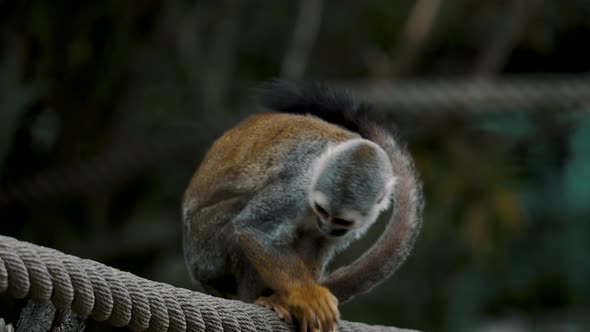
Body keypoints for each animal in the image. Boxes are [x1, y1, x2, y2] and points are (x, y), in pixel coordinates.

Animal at [183, 81, 424, 332]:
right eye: (322, 210)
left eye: (341, 221)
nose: (327, 227)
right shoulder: (296, 188)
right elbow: (254, 229)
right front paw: (305, 296)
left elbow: (319, 246)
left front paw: (290, 299)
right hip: (206, 248)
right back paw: (253, 298)